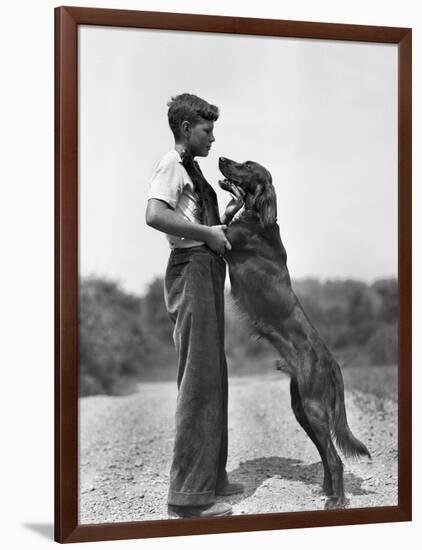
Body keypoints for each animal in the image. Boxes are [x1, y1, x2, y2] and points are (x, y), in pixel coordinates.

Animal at [218, 155, 370, 508]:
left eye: (246, 165)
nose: (221, 158)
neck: (259, 218)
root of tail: (333, 364)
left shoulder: (225, 244)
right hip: (302, 409)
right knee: (326, 455)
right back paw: (327, 490)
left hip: (314, 408)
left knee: (334, 457)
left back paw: (337, 500)